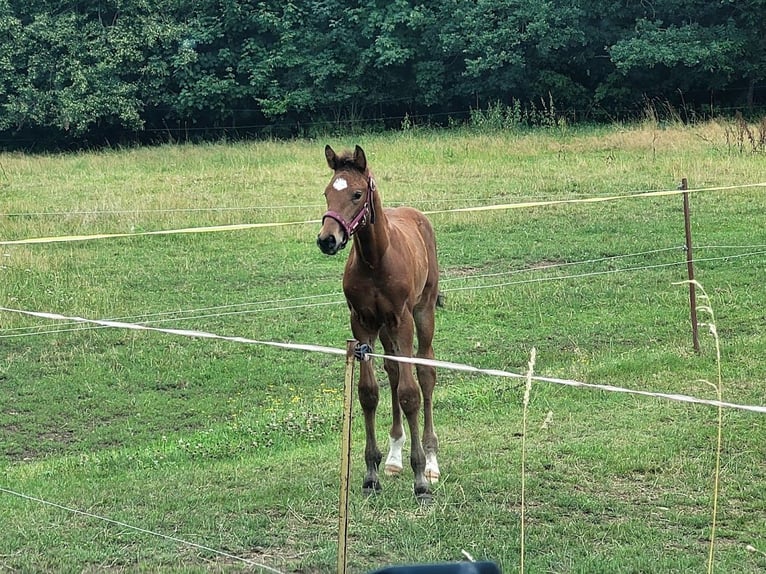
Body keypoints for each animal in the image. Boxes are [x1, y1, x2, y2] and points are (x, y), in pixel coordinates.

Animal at [316, 145, 440, 504]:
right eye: (327, 193)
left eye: (357, 194)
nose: (327, 240)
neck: (375, 260)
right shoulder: (362, 324)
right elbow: (369, 393)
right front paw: (371, 472)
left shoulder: (402, 320)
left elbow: (411, 394)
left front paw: (420, 481)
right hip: (385, 330)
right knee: (394, 371)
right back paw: (395, 457)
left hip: (423, 312)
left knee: (425, 373)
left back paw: (431, 461)